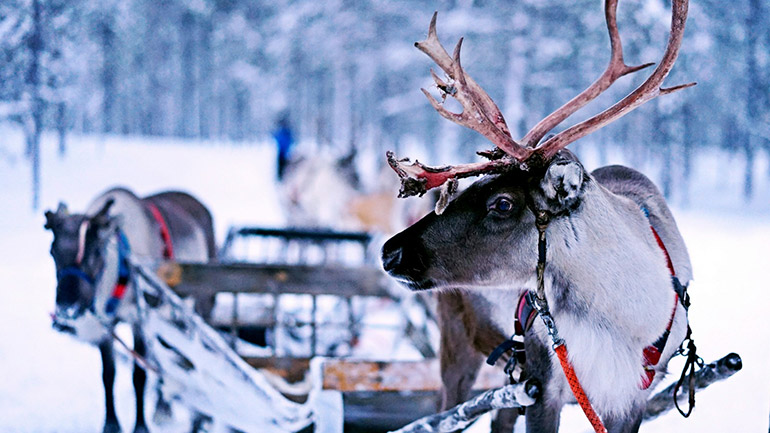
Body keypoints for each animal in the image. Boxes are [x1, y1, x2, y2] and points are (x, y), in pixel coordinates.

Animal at [381, 1, 700, 432]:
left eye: (502, 203)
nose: (390, 252)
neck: (621, 323)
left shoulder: (631, 398)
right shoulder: (542, 382)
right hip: (458, 346)